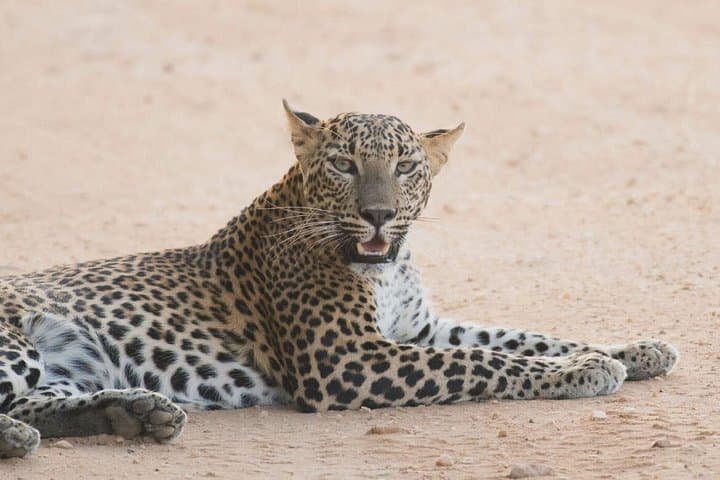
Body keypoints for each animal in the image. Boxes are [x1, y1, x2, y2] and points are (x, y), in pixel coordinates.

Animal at [0, 100, 678, 458]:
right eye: (345, 165)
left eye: (404, 166)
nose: (378, 214)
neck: (389, 266)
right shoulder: (345, 358)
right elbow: (487, 362)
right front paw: (584, 370)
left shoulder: (420, 329)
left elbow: (517, 337)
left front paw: (635, 349)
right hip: (19, 345)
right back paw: (27, 435)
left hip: (63, 365)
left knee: (40, 402)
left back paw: (134, 414)